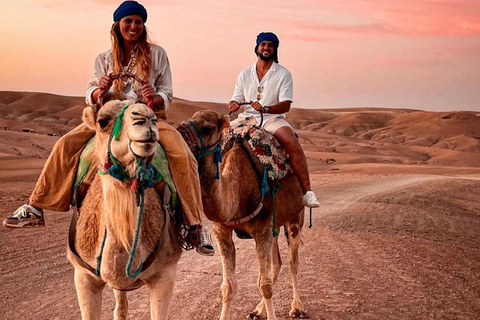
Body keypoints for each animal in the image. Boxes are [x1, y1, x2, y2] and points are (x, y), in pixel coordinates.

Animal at [178, 110, 306, 320]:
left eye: (207, 128)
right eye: (185, 120)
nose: (178, 135)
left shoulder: (262, 229)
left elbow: (265, 285)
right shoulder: (222, 229)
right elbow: (228, 287)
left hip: (295, 216)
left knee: (293, 261)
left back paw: (297, 308)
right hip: (274, 225)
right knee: (277, 263)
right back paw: (258, 310)